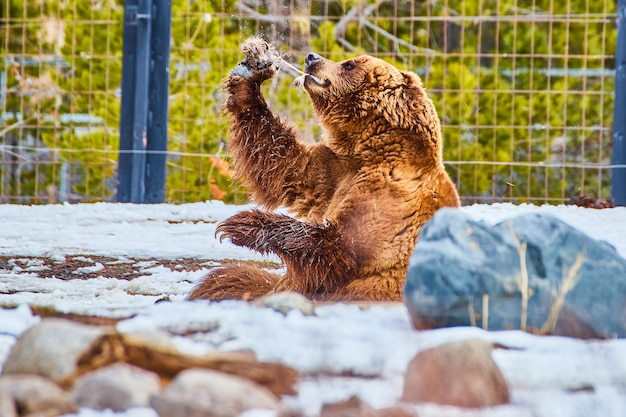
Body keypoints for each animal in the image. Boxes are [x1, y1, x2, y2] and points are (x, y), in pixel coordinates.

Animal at [186, 42, 458, 300]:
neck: (372, 149)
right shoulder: (336, 170)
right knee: (227, 279)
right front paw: (249, 75)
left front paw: (242, 223)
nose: (312, 57)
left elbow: (340, 248)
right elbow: (285, 165)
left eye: (349, 64)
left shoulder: (392, 196)